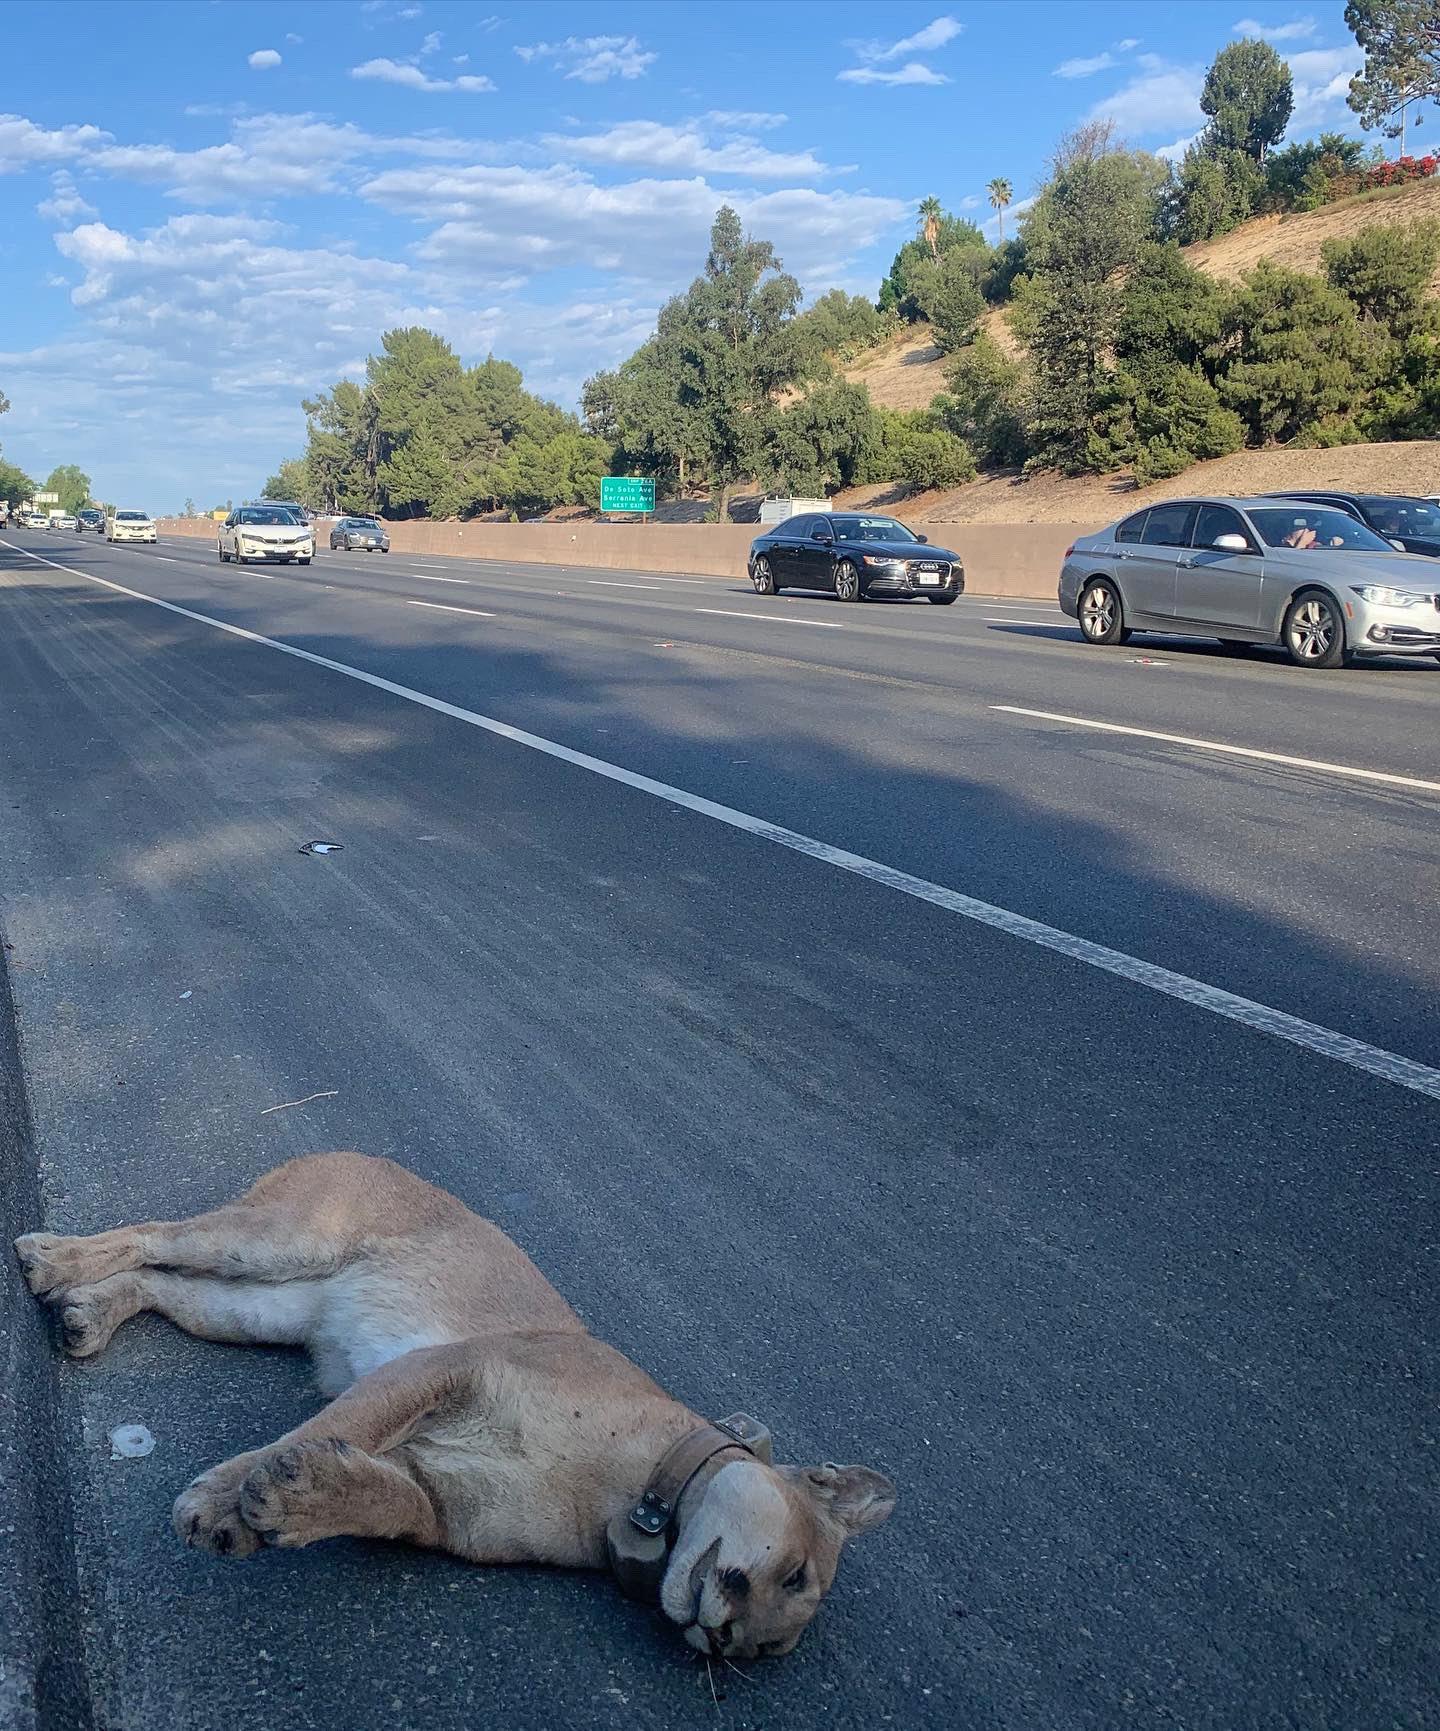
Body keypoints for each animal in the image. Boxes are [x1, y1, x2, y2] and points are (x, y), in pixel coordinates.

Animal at [14, 1156, 900, 1654]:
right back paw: (49, 1257)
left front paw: (303, 1498)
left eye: (767, 1653)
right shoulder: (452, 1365)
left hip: (264, 1307)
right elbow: (338, 1423)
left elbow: (382, 1498)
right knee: (158, 1233)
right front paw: (227, 1496)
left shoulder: (448, 1504)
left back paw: (87, 1310)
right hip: (273, 1241)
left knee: (165, 1284)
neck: (632, 1491)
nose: (720, 1637)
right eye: (794, 1573)